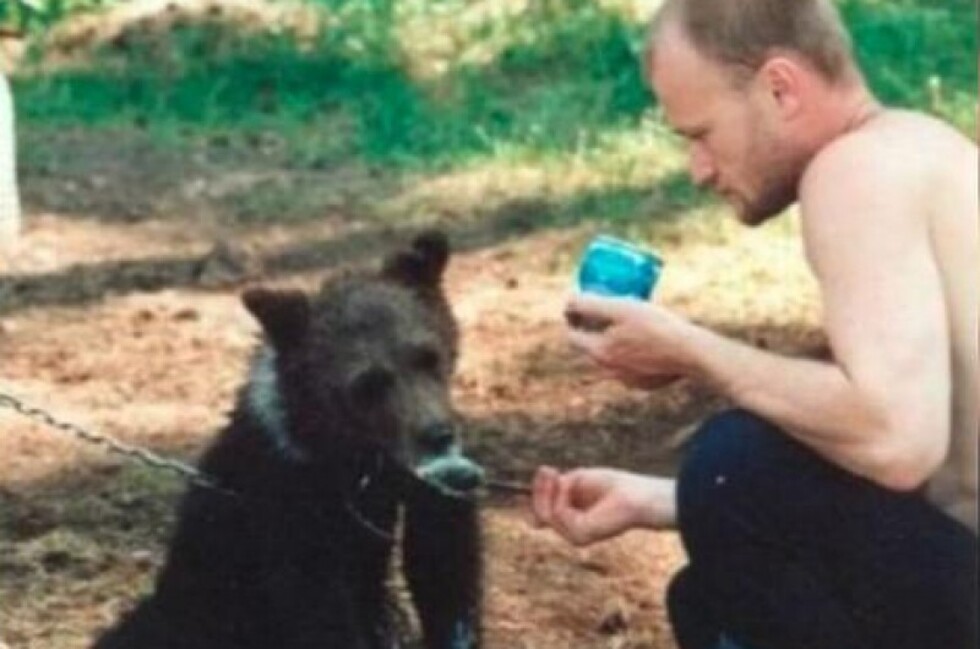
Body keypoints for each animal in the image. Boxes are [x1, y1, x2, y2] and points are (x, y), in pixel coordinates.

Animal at [94, 231, 483, 649]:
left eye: (428, 357)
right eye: (368, 383)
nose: (439, 434)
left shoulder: (403, 491)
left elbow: (443, 563)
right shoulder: (286, 508)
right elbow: (319, 608)